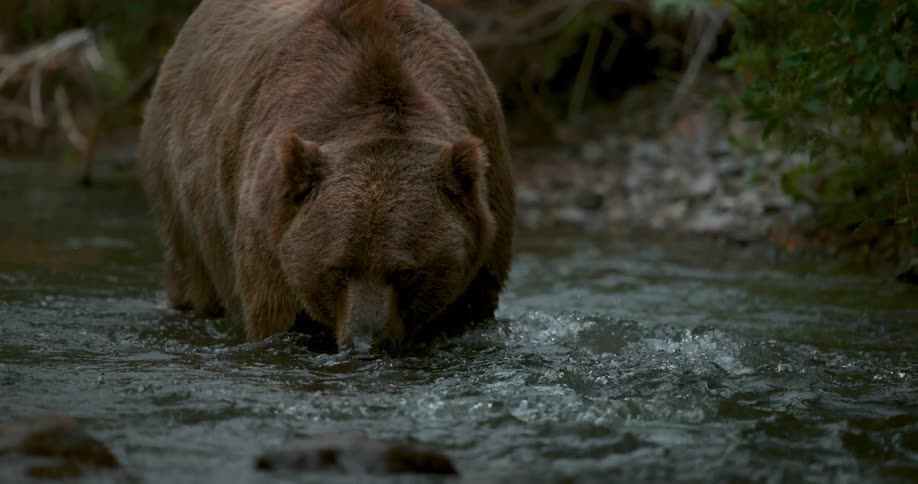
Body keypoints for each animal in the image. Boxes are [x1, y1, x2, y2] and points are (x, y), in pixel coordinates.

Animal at [138, 0, 515, 354]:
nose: (365, 342)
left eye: (405, 271)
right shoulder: (269, 242)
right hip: (180, 199)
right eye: (339, 268)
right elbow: (275, 319)